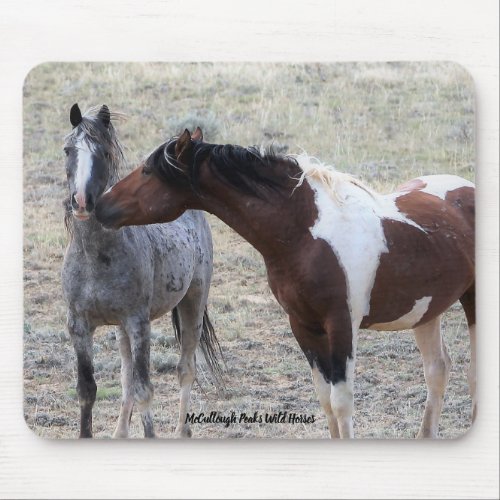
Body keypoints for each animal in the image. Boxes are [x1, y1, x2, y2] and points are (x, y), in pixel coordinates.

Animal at [61, 104, 221, 438]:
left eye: (103, 153)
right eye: (68, 150)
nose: (81, 202)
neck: (96, 257)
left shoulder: (139, 323)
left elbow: (145, 389)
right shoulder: (79, 326)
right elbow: (88, 389)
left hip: (193, 303)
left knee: (185, 369)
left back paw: (182, 432)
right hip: (121, 328)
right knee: (126, 378)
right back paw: (120, 433)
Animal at [94, 129, 476, 438]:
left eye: (147, 171)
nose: (100, 205)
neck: (304, 232)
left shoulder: (342, 326)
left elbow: (342, 402)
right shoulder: (303, 326)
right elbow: (325, 401)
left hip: (472, 303)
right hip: (426, 312)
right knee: (437, 370)